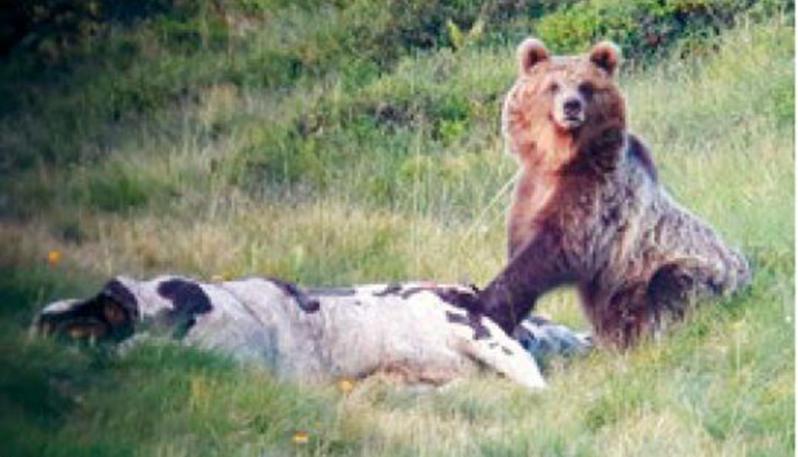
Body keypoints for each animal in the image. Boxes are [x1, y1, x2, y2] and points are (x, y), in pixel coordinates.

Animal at [476, 38, 751, 348]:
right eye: (553, 86)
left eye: (585, 86)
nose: (571, 106)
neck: (560, 162)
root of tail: (746, 273)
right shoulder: (530, 193)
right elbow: (522, 244)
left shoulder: (597, 199)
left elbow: (555, 248)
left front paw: (483, 301)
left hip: (690, 268)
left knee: (669, 287)